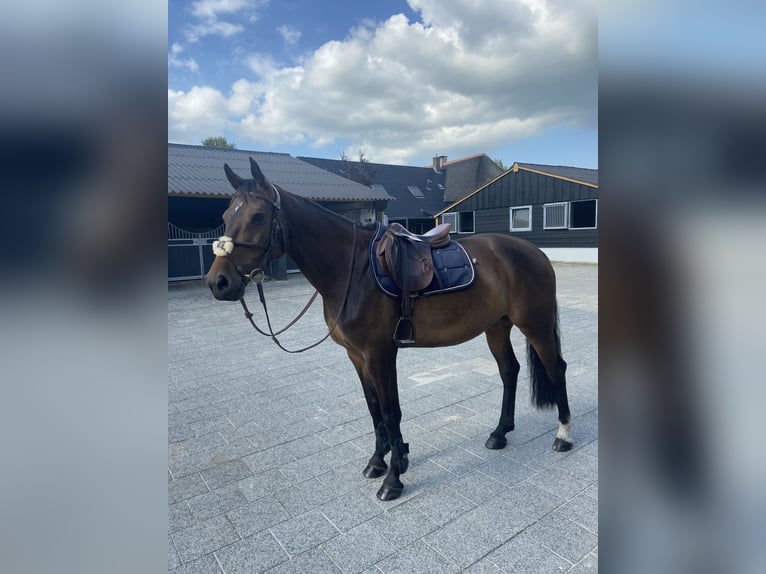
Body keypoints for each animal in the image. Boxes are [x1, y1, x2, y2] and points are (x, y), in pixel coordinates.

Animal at [207, 160, 572, 502]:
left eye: (257, 216)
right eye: (225, 214)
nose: (218, 282)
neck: (351, 270)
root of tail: (535, 252)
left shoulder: (380, 353)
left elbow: (390, 410)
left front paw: (393, 479)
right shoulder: (356, 356)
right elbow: (373, 409)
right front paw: (378, 461)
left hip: (535, 324)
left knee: (555, 368)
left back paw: (563, 436)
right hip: (497, 326)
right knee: (510, 371)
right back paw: (499, 433)